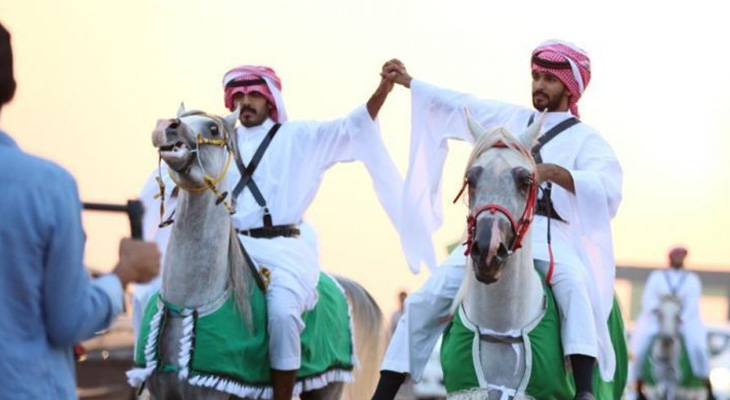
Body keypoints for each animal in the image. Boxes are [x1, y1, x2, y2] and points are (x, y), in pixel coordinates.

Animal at [128, 105, 384, 400]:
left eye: (213, 128)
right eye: (181, 118)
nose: (167, 127)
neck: (190, 302)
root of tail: (338, 282)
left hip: (328, 384)